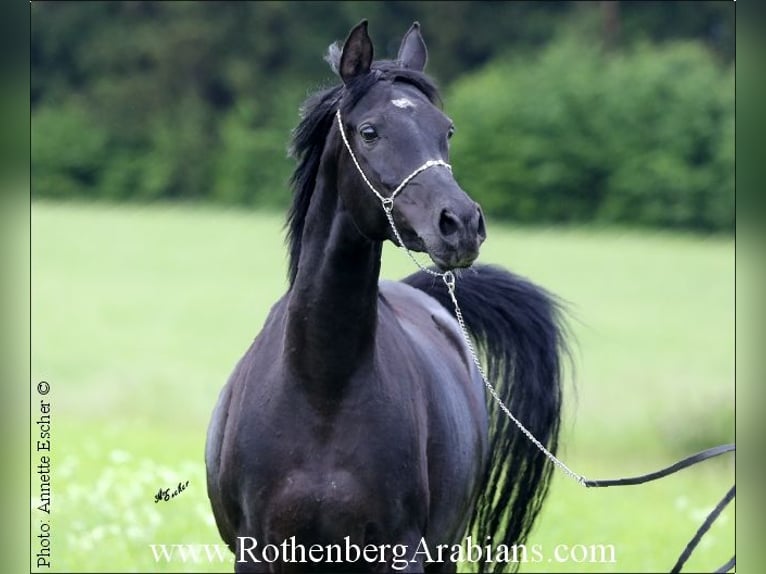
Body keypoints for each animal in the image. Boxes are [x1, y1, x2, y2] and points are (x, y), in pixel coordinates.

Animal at [207, 20, 568, 572]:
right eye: (370, 131)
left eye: (447, 130)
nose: (460, 224)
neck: (321, 391)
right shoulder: (258, 552)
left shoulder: (400, 551)